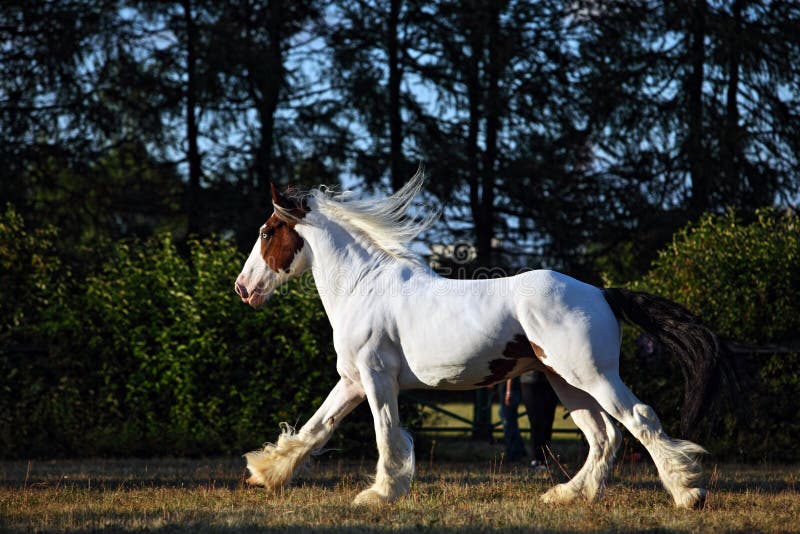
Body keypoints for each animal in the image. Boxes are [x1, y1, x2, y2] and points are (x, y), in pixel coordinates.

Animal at [234, 171, 717, 509]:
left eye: (265, 232)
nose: (243, 288)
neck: (363, 286)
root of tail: (602, 292)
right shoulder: (352, 380)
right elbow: (316, 428)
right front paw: (265, 472)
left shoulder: (376, 378)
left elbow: (386, 434)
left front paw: (379, 495)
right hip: (565, 381)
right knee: (604, 438)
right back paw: (566, 495)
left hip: (593, 375)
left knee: (638, 419)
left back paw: (687, 494)